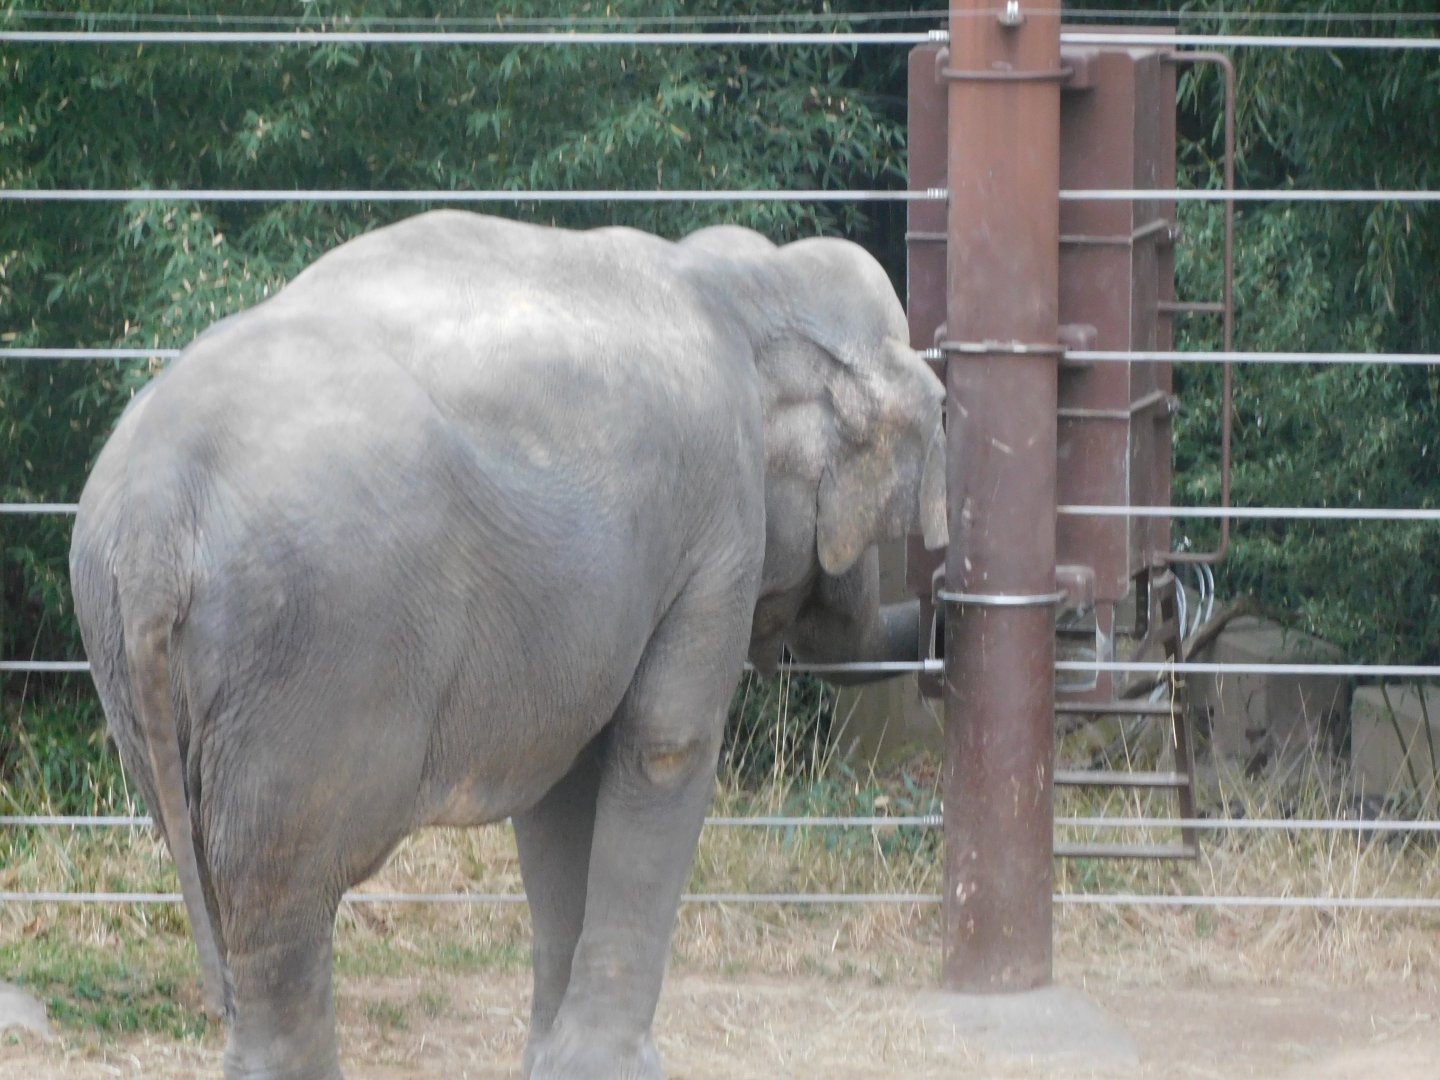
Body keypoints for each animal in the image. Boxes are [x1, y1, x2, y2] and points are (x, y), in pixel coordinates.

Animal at [69, 210, 947, 1079]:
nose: (942, 608)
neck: (747, 279)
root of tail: (154, 520)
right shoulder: (719, 517)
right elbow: (665, 746)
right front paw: (607, 1068)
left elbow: (561, 789)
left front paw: (554, 1062)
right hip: (307, 657)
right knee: (284, 898)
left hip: (132, 657)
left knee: (218, 878)